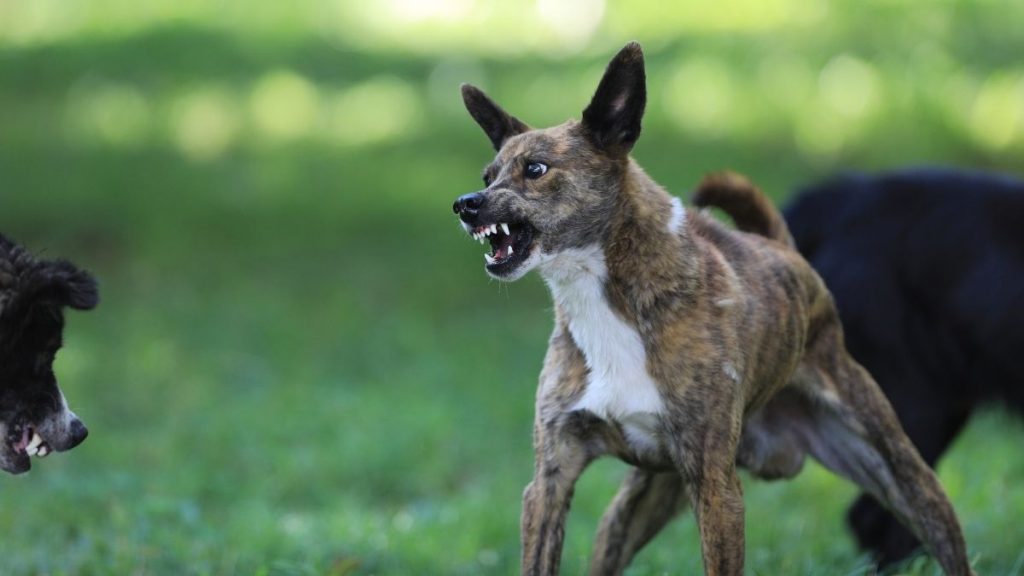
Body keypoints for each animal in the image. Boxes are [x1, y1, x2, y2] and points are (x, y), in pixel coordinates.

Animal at [452, 42, 970, 569]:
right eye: (488, 176)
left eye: (536, 169)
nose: (465, 204)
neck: (608, 298)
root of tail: (783, 249)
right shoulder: (549, 484)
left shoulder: (716, 488)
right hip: (635, 504)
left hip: (902, 473)